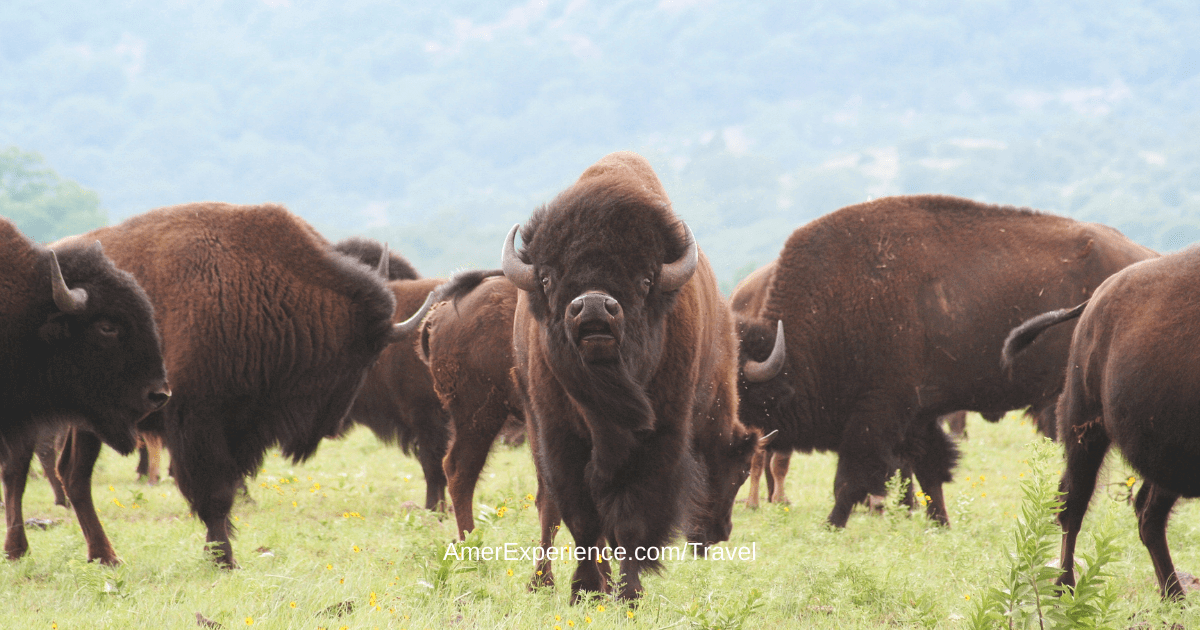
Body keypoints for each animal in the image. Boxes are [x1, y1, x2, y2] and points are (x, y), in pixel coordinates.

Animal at [53, 202, 404, 567]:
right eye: (364, 358)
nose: (334, 425)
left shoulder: (241, 428)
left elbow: (228, 490)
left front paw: (221, 553)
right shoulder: (198, 422)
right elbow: (215, 494)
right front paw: (224, 559)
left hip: (89, 423)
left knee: (74, 475)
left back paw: (104, 555)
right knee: (75, 475)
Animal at [505, 151, 761, 601]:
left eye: (645, 280)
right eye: (548, 277)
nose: (593, 306)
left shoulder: (659, 439)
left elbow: (630, 523)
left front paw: (627, 594)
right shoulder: (560, 438)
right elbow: (582, 519)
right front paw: (584, 589)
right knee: (549, 508)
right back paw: (544, 582)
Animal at [735, 195, 1155, 528]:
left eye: (740, 392)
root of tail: (1147, 257)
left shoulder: (876, 415)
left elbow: (850, 479)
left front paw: (832, 524)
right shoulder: (917, 417)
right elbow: (928, 471)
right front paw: (939, 522)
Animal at [1002, 248, 1194, 599]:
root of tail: (1096, 298)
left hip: (1166, 456)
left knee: (1147, 513)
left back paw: (1174, 597)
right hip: (1085, 429)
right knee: (1074, 505)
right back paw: (1065, 588)